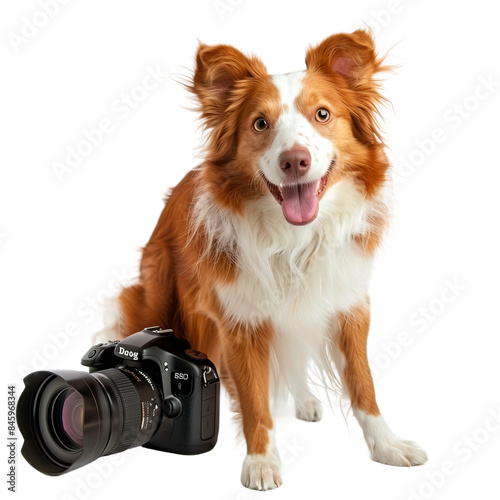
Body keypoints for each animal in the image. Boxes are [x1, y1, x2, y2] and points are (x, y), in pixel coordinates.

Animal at [100, 30, 426, 488]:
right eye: (260, 124)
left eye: (322, 114)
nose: (295, 161)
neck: (295, 239)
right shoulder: (240, 320)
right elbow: (255, 398)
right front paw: (260, 461)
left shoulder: (348, 303)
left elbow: (364, 385)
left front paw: (388, 446)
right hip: (159, 293)